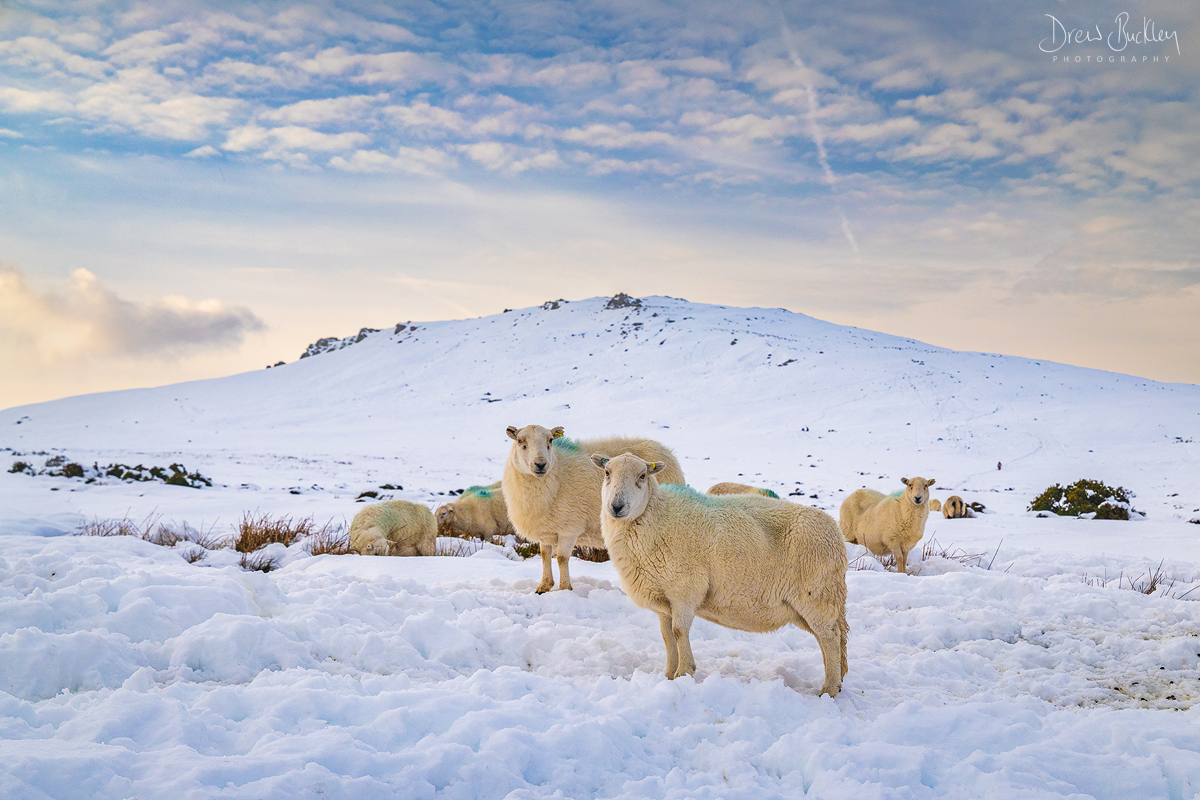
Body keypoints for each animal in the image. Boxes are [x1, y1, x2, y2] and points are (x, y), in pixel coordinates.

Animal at [502, 424, 684, 593]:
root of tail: (666, 451)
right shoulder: (546, 529)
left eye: (550, 441)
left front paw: (564, 589)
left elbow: (562, 558)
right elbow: (544, 556)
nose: (540, 465)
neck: (557, 473)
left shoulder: (570, 528)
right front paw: (544, 586)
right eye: (520, 441)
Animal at [591, 453, 849, 696]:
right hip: (809, 604)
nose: (616, 506)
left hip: (817, 595)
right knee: (829, 639)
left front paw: (685, 672)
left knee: (830, 637)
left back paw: (829, 688)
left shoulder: (685, 589)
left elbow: (679, 631)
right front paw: (668, 675)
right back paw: (836, 681)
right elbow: (666, 636)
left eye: (642, 476)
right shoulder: (663, 599)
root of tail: (835, 531)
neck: (658, 517)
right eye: (607, 473)